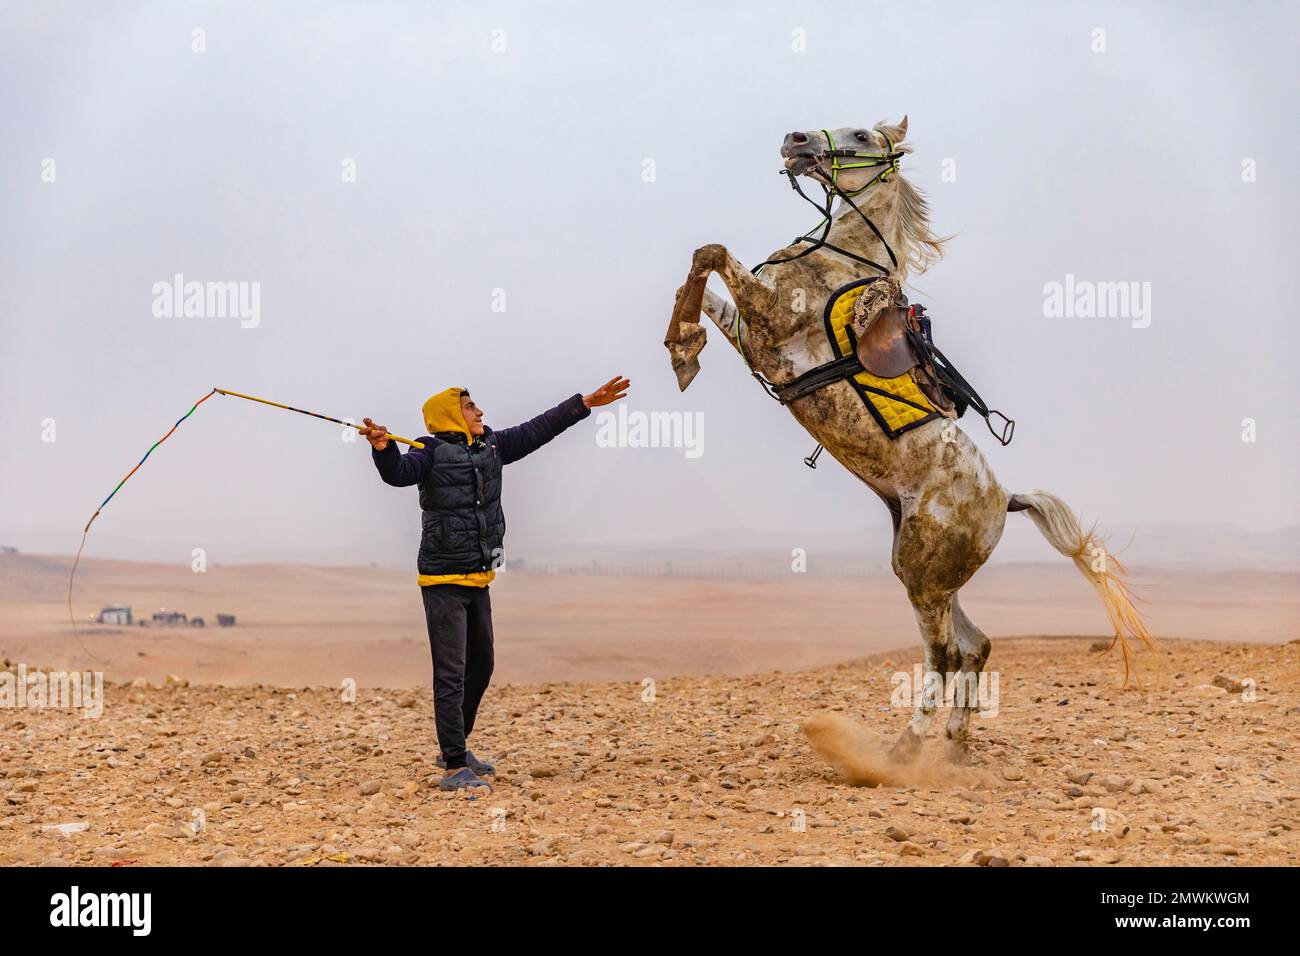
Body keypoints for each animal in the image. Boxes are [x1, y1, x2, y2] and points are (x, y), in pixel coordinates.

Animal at [663, 117, 1153, 764]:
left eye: (864, 136)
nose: (795, 141)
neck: (836, 260)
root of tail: (1005, 501)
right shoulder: (749, 331)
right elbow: (703, 269)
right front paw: (683, 347)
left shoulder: (769, 324)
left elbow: (715, 253)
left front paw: (683, 350)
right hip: (931, 577)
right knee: (975, 646)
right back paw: (951, 747)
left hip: (923, 571)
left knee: (945, 655)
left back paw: (902, 751)